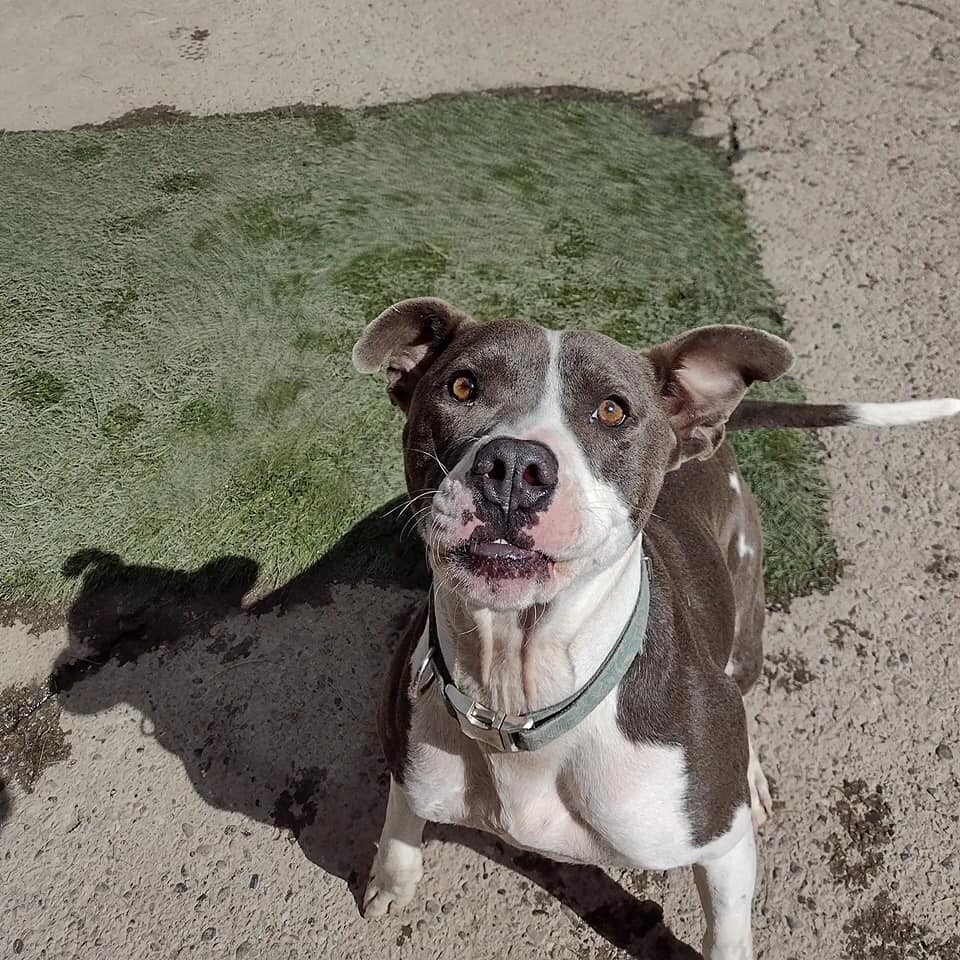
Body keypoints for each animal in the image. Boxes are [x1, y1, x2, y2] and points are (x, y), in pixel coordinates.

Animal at [352, 296, 960, 956]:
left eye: (612, 410)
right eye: (462, 386)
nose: (513, 465)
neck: (518, 699)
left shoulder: (721, 847)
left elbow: (727, 929)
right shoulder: (408, 756)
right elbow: (401, 818)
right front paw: (391, 880)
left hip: (746, 634)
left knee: (740, 693)